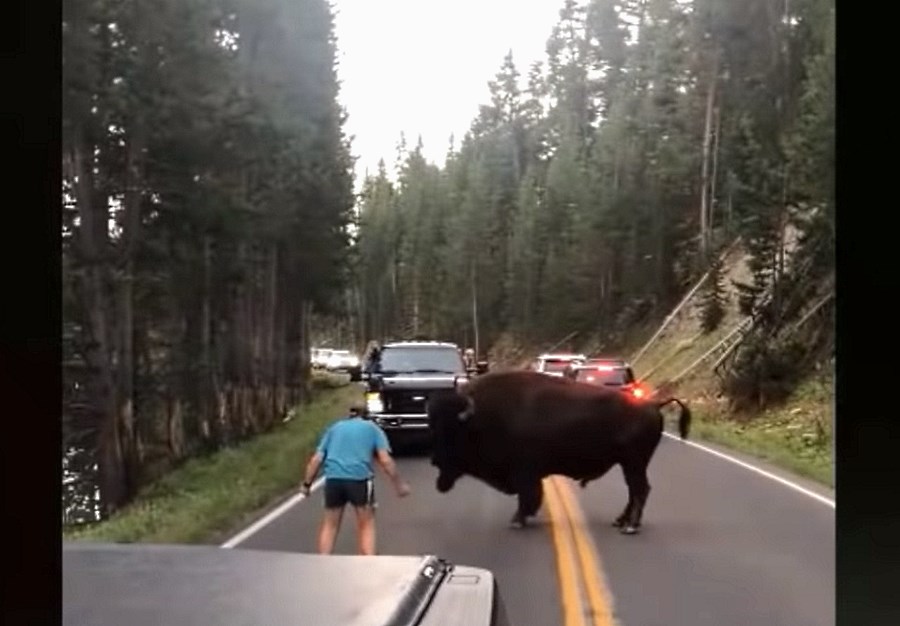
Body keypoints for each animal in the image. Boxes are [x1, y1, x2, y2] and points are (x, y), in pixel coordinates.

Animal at [426, 368, 692, 532]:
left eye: (453, 431)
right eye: (433, 427)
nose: (435, 461)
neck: (481, 418)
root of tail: (653, 404)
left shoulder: (524, 473)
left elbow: (528, 496)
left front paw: (517, 521)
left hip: (634, 462)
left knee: (640, 489)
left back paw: (630, 526)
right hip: (629, 464)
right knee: (634, 490)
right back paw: (620, 521)